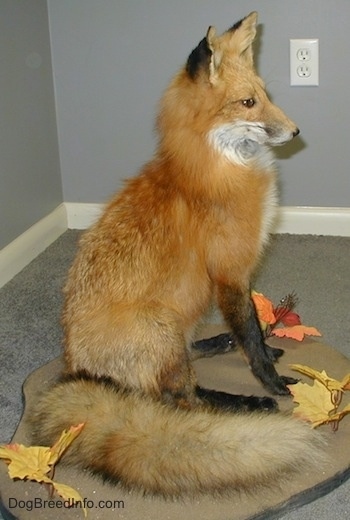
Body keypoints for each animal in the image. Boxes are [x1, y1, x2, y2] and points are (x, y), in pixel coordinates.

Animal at [30, 13, 326, 496]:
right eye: (247, 103)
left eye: (265, 96)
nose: (297, 131)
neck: (217, 168)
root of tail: (74, 368)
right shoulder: (229, 273)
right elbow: (251, 335)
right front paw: (273, 383)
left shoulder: (238, 277)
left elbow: (253, 329)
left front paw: (260, 347)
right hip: (162, 326)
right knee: (185, 399)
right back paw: (242, 403)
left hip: (179, 323)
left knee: (184, 375)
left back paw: (215, 344)